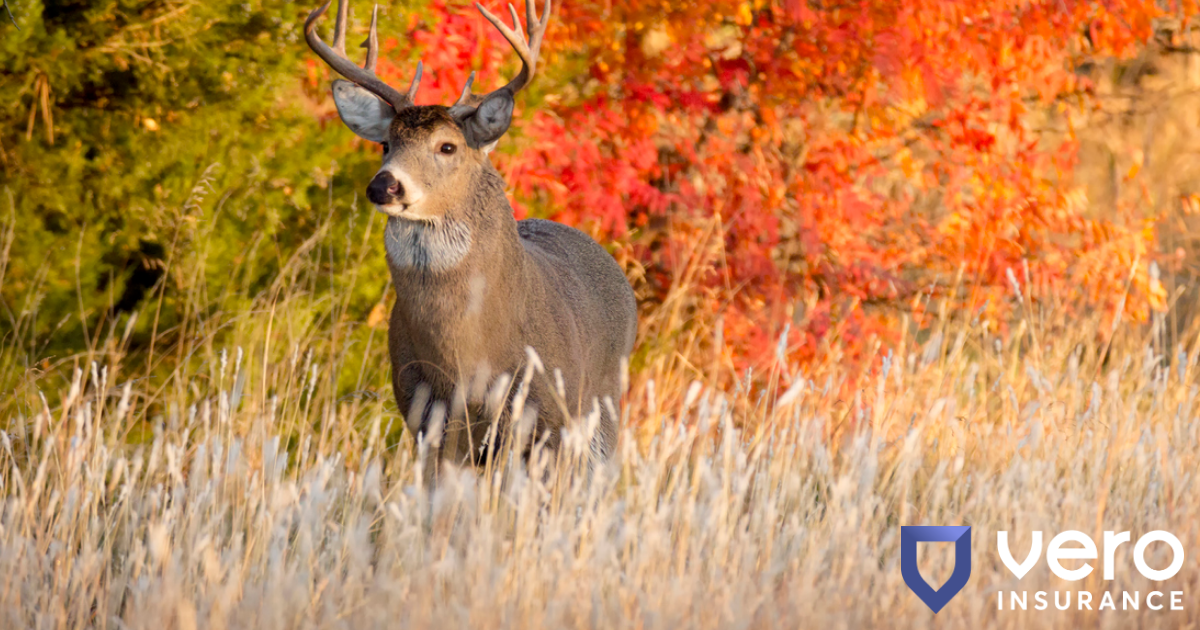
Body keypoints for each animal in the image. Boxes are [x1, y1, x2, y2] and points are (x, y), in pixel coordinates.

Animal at [304, 0, 637, 472]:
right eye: (386, 144)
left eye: (448, 147)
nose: (384, 185)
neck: (467, 357)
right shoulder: (427, 419)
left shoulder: (547, 419)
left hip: (602, 407)